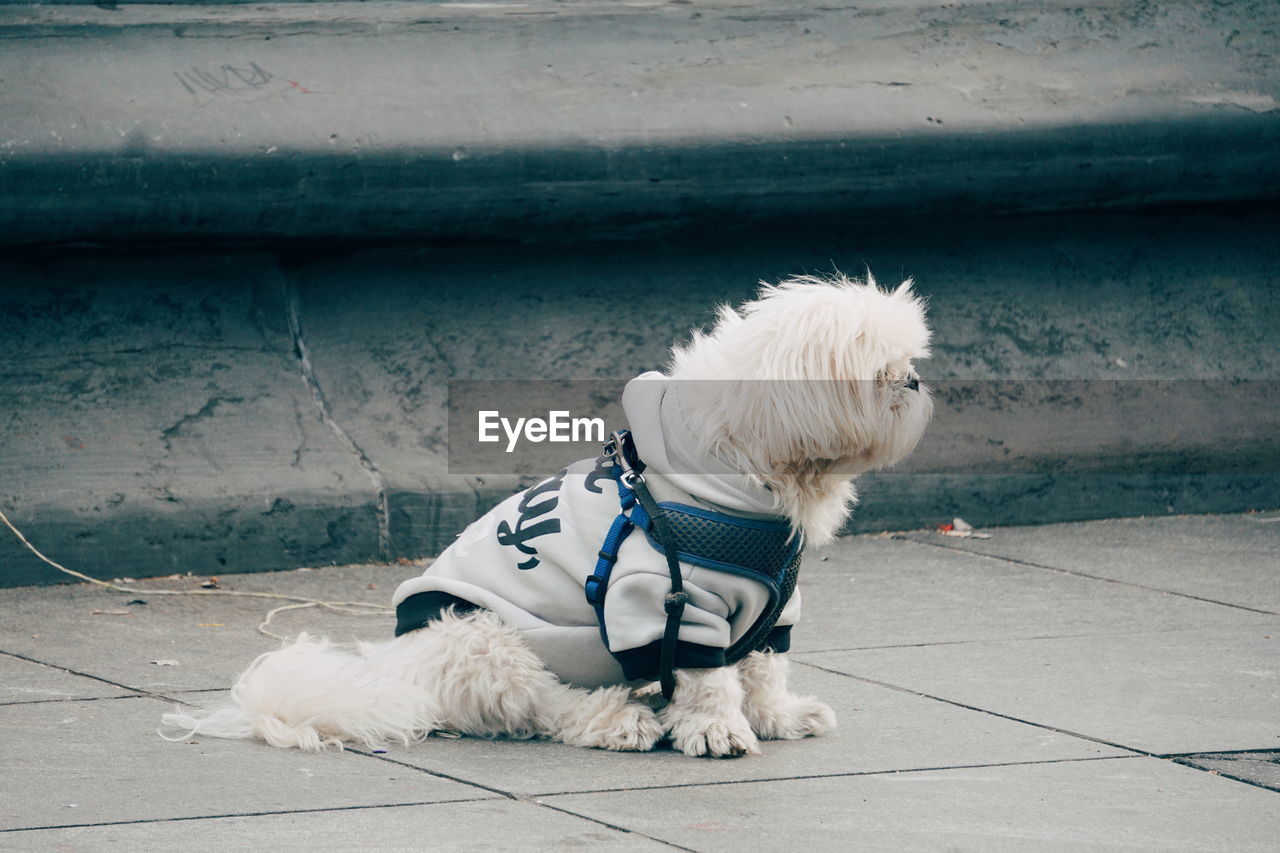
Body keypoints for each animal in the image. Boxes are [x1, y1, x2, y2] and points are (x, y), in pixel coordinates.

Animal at [165, 272, 936, 758]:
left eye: (906, 360)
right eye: (877, 374)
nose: (915, 380)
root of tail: (404, 670)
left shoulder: (776, 607)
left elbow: (763, 669)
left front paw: (777, 717)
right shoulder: (666, 602)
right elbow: (709, 677)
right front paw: (716, 729)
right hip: (492, 641)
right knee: (546, 709)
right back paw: (620, 719)